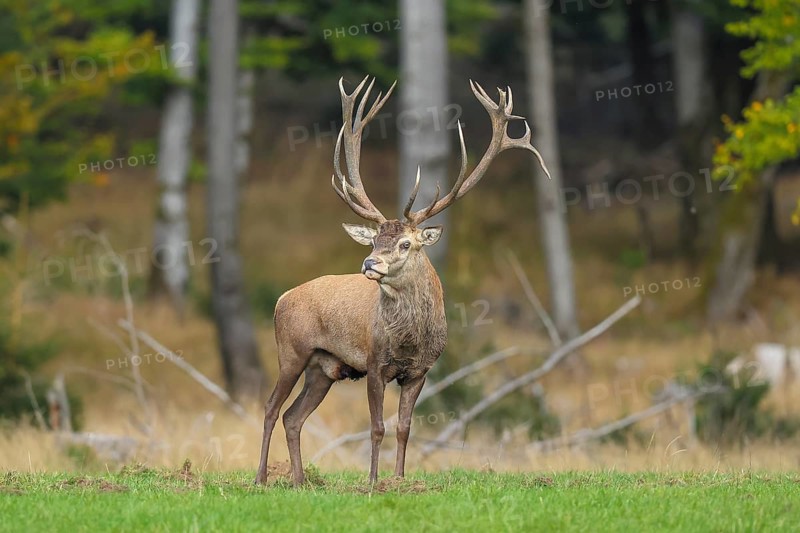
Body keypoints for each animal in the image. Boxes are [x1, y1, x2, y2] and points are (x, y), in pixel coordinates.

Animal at [254, 75, 549, 487]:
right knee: (269, 408)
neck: (409, 340)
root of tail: (282, 298)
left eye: (406, 243)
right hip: (291, 351)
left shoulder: (420, 371)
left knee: (292, 416)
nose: (369, 262)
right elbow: (377, 427)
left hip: (323, 367)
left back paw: (299, 481)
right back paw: (260, 478)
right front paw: (372, 481)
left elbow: (404, 428)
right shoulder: (375, 363)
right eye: (374, 240)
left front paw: (399, 479)